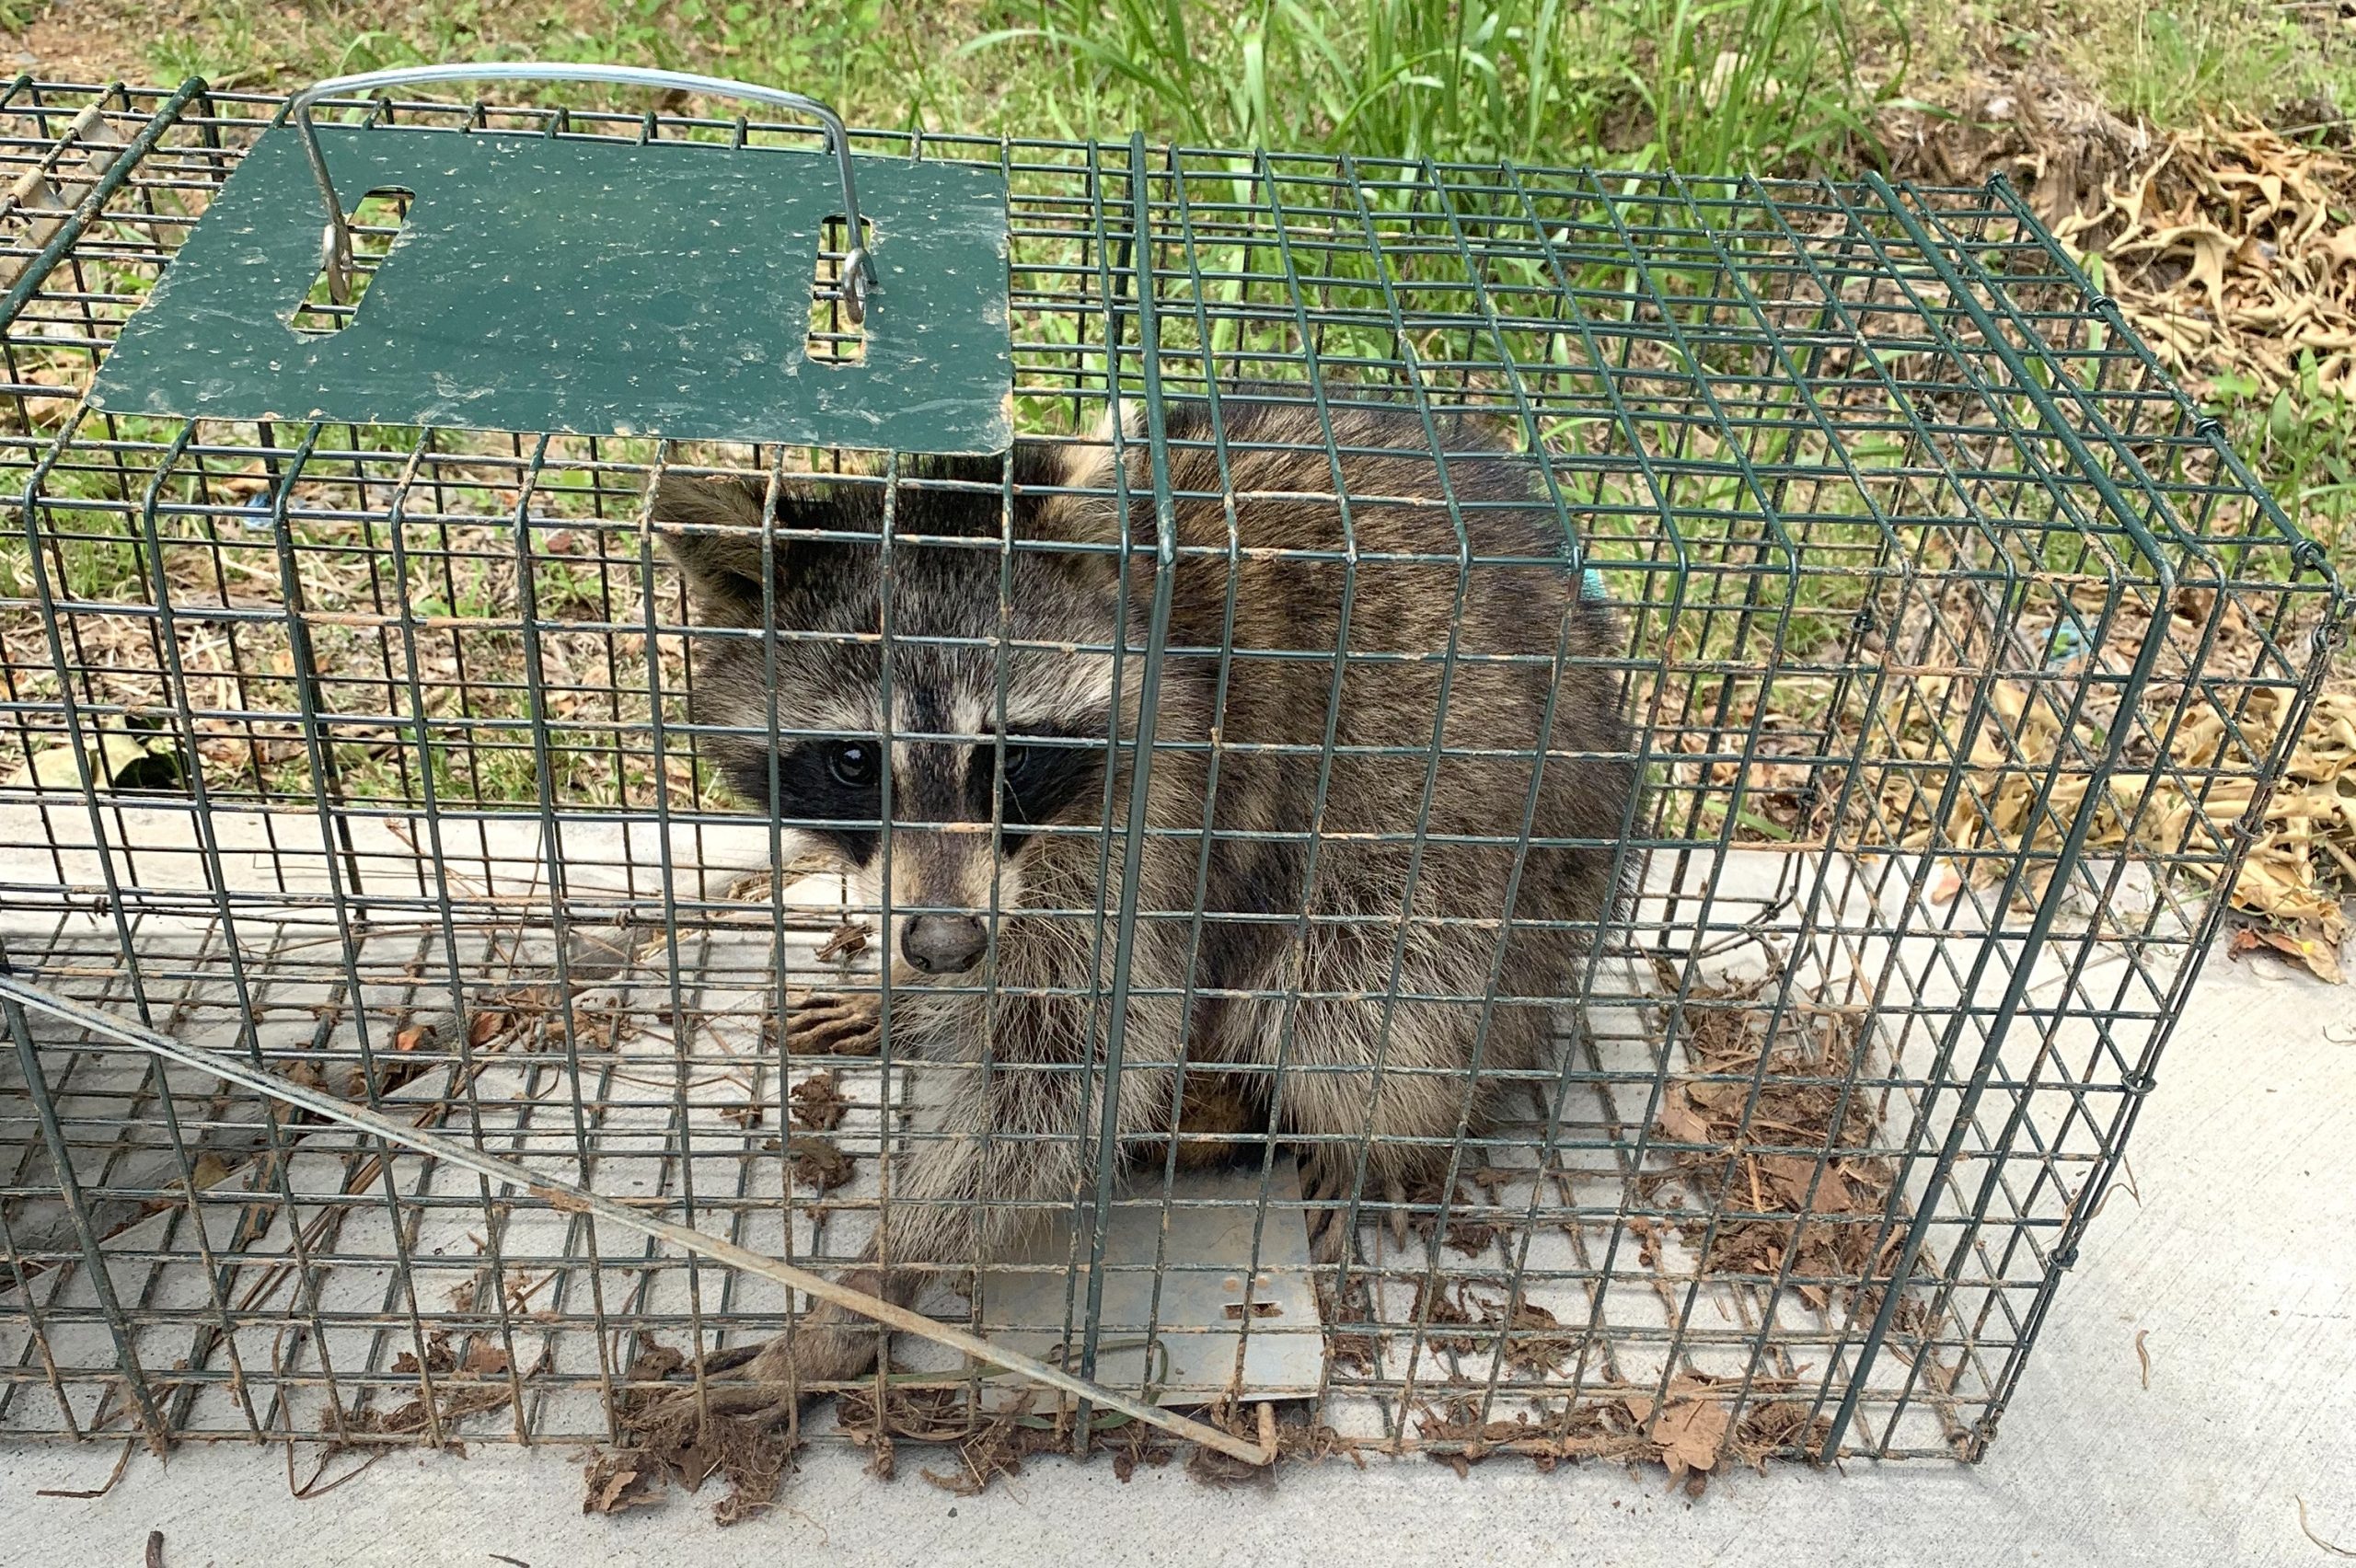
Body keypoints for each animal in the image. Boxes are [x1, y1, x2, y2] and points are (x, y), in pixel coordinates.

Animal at [645, 393, 1639, 1412]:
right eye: (854, 762)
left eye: (1008, 756)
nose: (944, 947)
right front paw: (906, 995)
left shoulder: (1150, 817)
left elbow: (1069, 1076)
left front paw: (863, 1298)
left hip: (1478, 840)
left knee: (1367, 989)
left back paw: (1379, 1137)